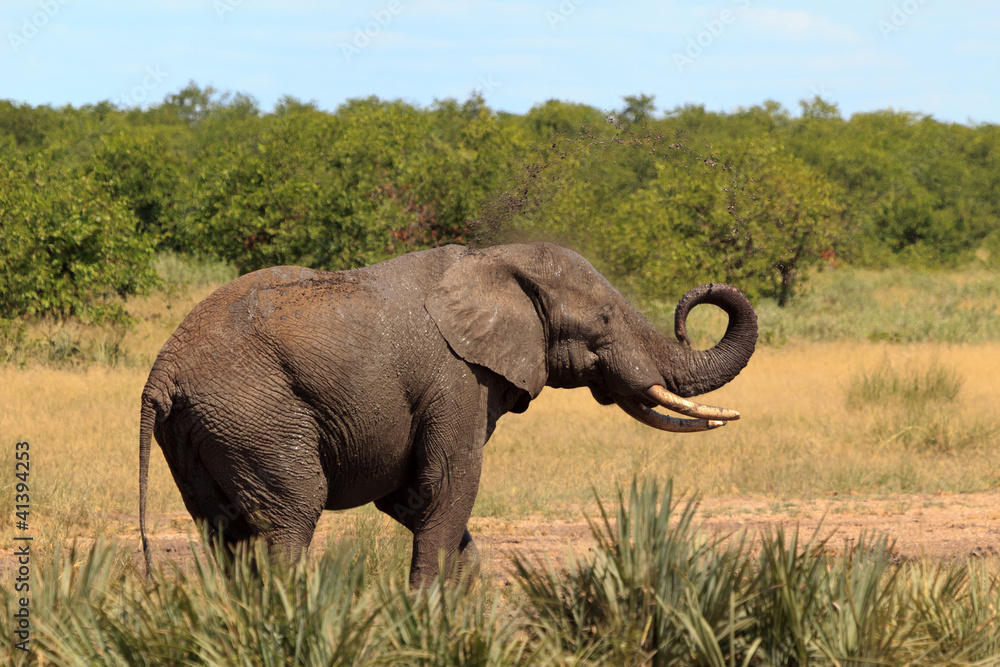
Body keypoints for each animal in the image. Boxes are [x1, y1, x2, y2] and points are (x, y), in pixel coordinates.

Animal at [139, 242, 757, 585]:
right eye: (604, 319)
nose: (688, 317)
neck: (496, 260)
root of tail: (160, 374)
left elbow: (412, 498)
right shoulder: (457, 378)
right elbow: (447, 485)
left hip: (206, 430)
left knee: (225, 530)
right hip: (256, 415)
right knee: (291, 513)